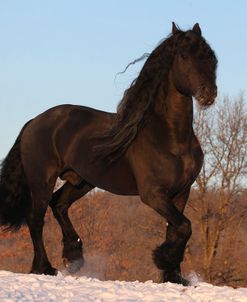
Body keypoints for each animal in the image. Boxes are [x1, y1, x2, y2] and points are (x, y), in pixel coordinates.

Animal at [0, 22, 216, 284]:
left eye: (210, 56)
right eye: (184, 56)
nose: (208, 94)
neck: (171, 138)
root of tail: (35, 121)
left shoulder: (181, 192)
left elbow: (176, 230)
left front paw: (173, 275)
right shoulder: (153, 194)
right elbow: (184, 227)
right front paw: (163, 260)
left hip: (82, 181)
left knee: (59, 204)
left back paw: (73, 257)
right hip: (42, 180)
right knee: (36, 219)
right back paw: (44, 267)